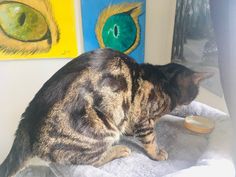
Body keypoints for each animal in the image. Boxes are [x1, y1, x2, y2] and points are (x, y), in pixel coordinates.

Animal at [0, 48, 210, 177]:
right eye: (196, 91)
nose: (193, 100)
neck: (165, 80)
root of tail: (26, 122)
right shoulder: (144, 119)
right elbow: (150, 139)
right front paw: (157, 154)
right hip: (100, 130)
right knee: (90, 161)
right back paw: (119, 150)